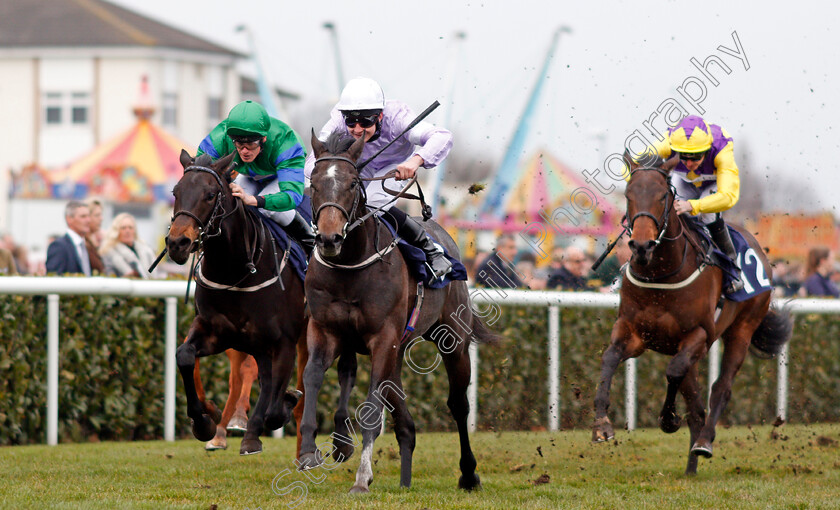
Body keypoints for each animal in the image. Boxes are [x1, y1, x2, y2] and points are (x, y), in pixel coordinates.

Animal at [166, 149, 306, 456]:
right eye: (175, 192)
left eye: (210, 195)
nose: (177, 243)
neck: (236, 272)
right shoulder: (217, 332)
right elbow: (184, 355)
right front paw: (204, 420)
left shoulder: (284, 342)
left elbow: (276, 408)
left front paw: (286, 402)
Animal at [296, 133, 498, 492]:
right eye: (314, 183)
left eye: (352, 183)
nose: (329, 238)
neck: (349, 267)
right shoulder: (324, 330)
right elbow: (313, 376)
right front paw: (309, 452)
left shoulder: (383, 339)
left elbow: (372, 408)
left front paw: (361, 478)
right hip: (400, 350)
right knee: (405, 419)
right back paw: (404, 477)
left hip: (453, 340)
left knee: (458, 405)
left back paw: (468, 473)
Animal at [592, 155, 792, 474]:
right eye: (628, 195)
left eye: (663, 196)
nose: (641, 246)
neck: (661, 273)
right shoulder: (633, 332)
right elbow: (609, 358)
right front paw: (601, 425)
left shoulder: (698, 334)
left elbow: (673, 372)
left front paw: (668, 419)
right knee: (696, 404)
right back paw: (690, 467)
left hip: (742, 328)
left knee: (721, 388)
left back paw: (703, 443)